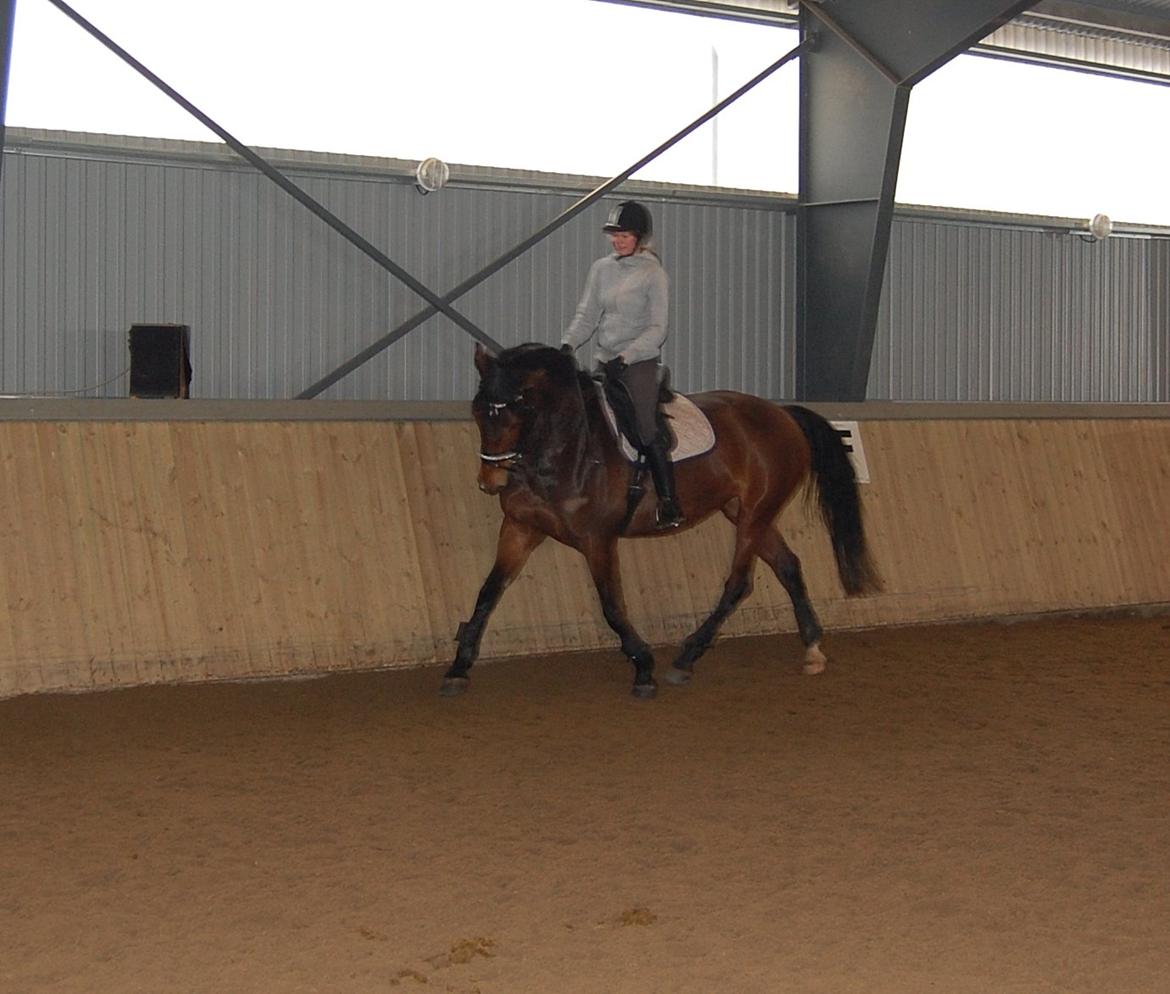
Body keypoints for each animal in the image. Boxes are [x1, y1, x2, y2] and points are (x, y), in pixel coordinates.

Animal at [439, 341, 879, 696]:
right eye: (478, 411)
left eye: (519, 409)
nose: (490, 481)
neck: (568, 449)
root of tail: (781, 413)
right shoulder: (520, 529)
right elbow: (488, 593)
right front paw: (459, 668)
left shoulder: (597, 539)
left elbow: (611, 606)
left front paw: (643, 667)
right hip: (744, 511)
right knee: (787, 565)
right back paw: (812, 648)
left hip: (755, 512)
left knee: (739, 583)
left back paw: (686, 657)